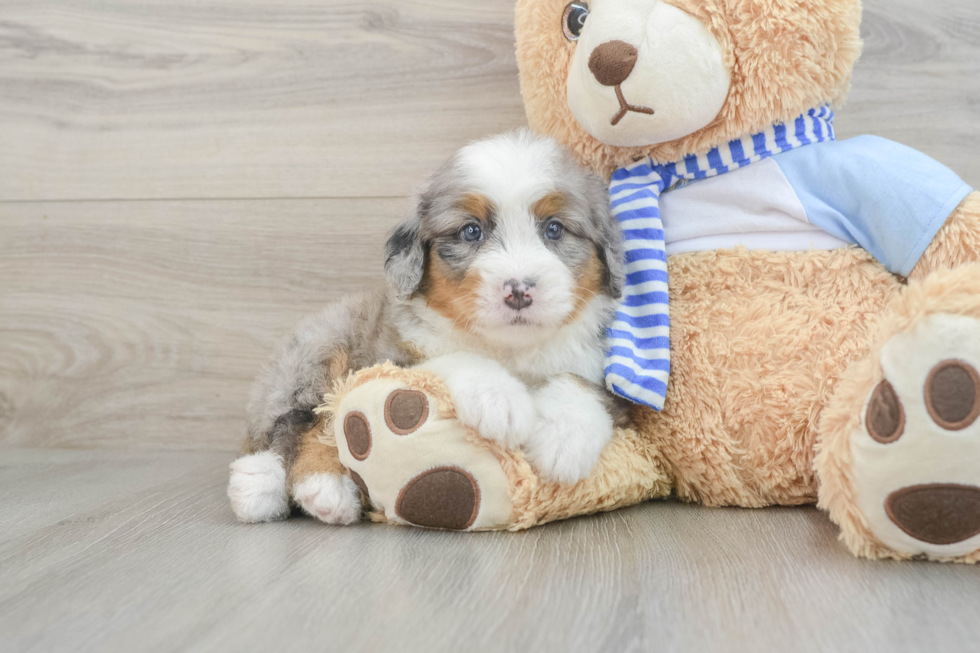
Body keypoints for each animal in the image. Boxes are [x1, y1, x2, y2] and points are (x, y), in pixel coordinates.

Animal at [230, 130, 628, 524]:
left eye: (554, 229)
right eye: (471, 231)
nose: (518, 290)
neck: (508, 347)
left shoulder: (601, 369)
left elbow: (580, 384)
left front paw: (563, 439)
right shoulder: (393, 357)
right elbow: (454, 359)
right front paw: (499, 400)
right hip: (319, 351)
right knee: (296, 426)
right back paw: (298, 487)